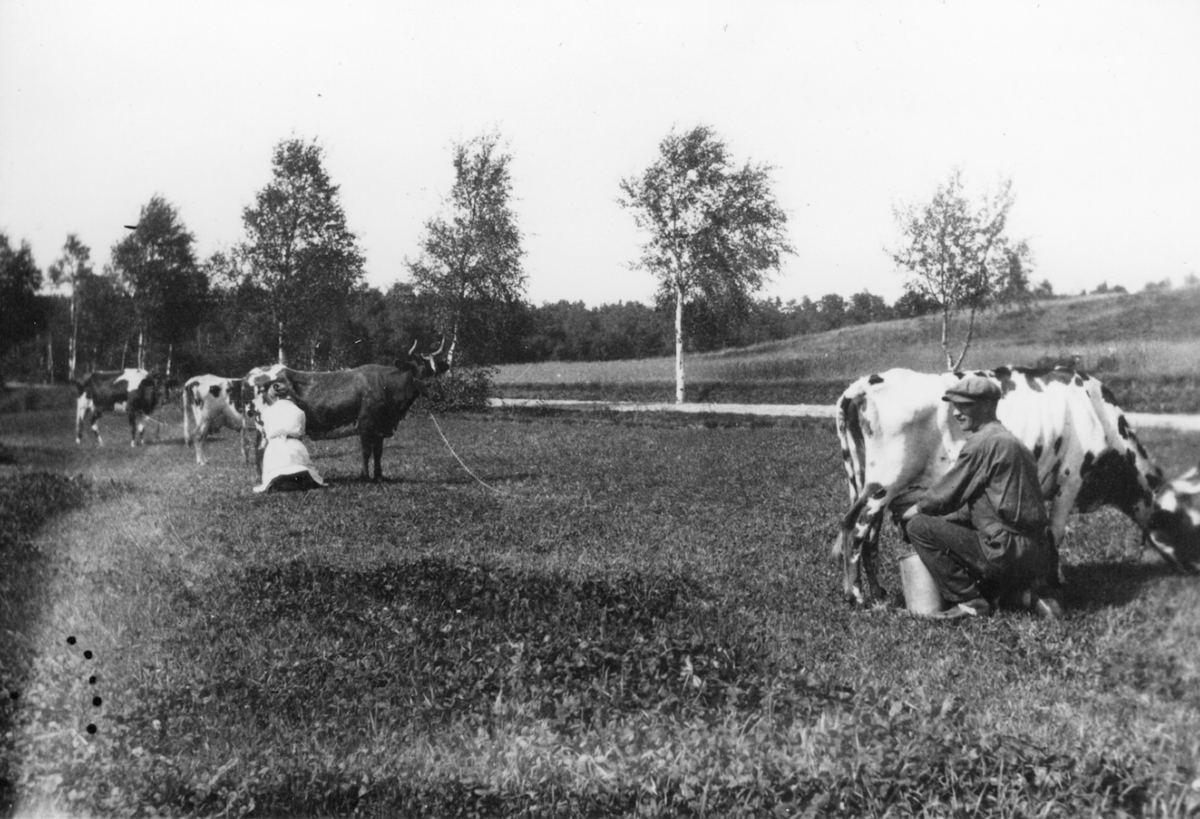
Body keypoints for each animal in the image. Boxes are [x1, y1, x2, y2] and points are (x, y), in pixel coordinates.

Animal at [835, 367, 1200, 602]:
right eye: (1186, 526)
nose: (1194, 574)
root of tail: (867, 383)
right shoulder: (1071, 478)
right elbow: (1055, 533)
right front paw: (1054, 582)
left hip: (871, 482)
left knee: (867, 536)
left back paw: (879, 594)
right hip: (884, 481)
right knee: (854, 527)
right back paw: (857, 597)